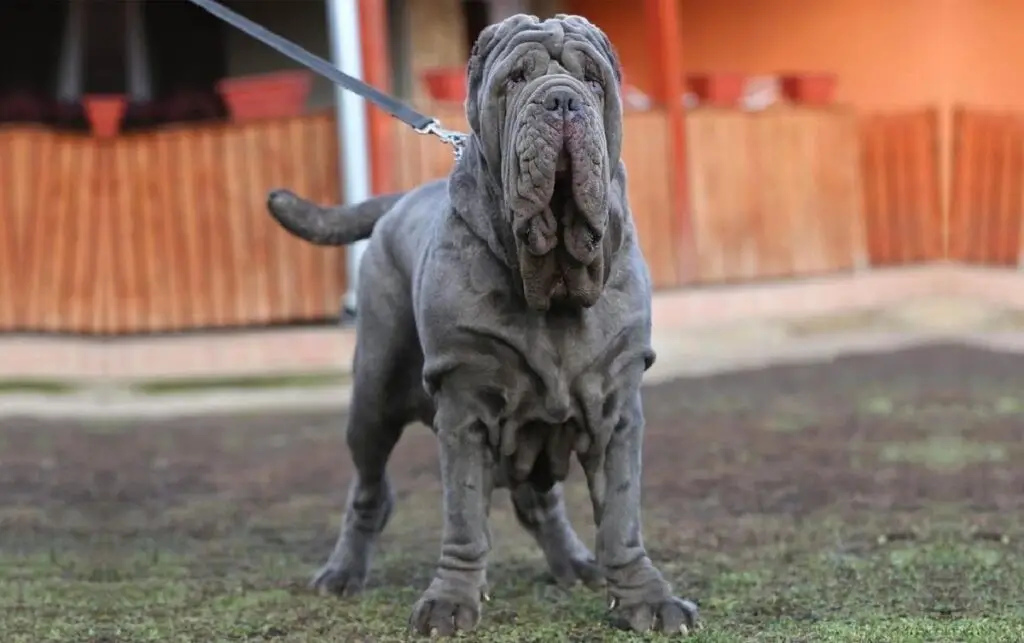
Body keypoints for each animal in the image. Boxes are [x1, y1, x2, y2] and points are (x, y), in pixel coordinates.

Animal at [266, 12, 696, 634]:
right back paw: (342, 574)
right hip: (372, 398)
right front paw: (449, 602)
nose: (562, 99)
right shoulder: (465, 404)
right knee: (370, 490)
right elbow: (465, 516)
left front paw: (647, 597)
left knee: (538, 500)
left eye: (593, 81)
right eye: (515, 79)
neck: (550, 281)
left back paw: (574, 562)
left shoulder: (617, 409)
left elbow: (622, 516)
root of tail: (401, 198)